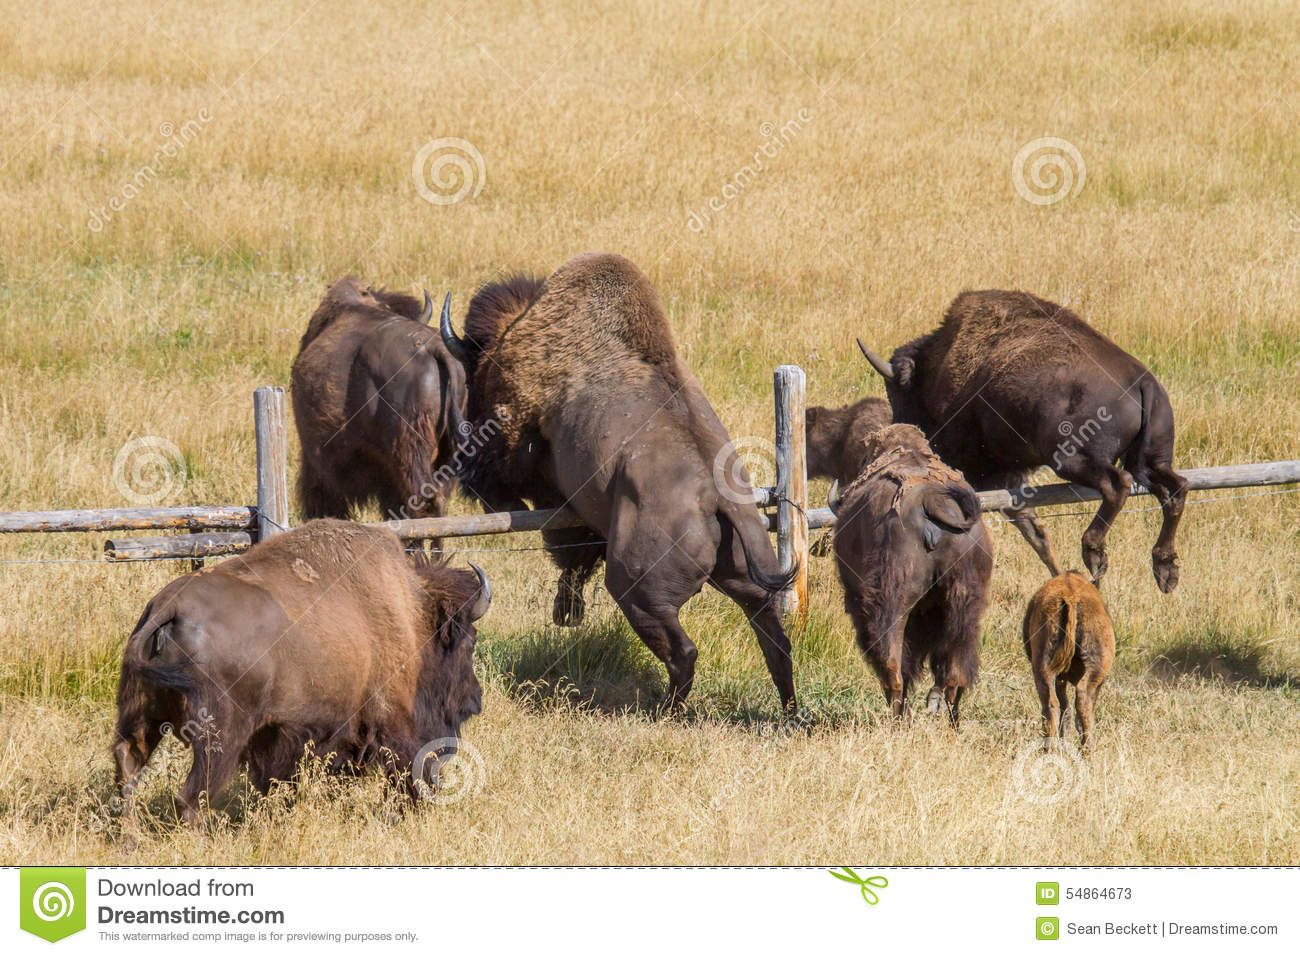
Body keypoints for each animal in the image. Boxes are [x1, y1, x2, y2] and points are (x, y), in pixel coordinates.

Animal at [110, 520, 488, 827]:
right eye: (469, 641)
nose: (474, 700)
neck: (411, 615)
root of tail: (168, 607)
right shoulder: (391, 721)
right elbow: (408, 766)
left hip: (140, 715)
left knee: (128, 767)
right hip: (218, 738)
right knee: (191, 798)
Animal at [441, 251, 795, 712]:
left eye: (474, 377)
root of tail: (720, 498)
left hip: (638, 592)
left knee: (683, 650)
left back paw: (665, 709)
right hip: (747, 572)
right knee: (772, 634)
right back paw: (789, 709)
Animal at [832, 421, 993, 728]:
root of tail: (931, 501)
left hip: (893, 603)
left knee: (893, 662)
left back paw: (899, 719)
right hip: (965, 603)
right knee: (957, 666)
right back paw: (949, 717)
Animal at [1024, 572, 1118, 749]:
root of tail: (1071, 598)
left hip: (1043, 667)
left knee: (1052, 704)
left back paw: (1050, 747)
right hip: (1092, 670)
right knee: (1082, 702)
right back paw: (1087, 748)